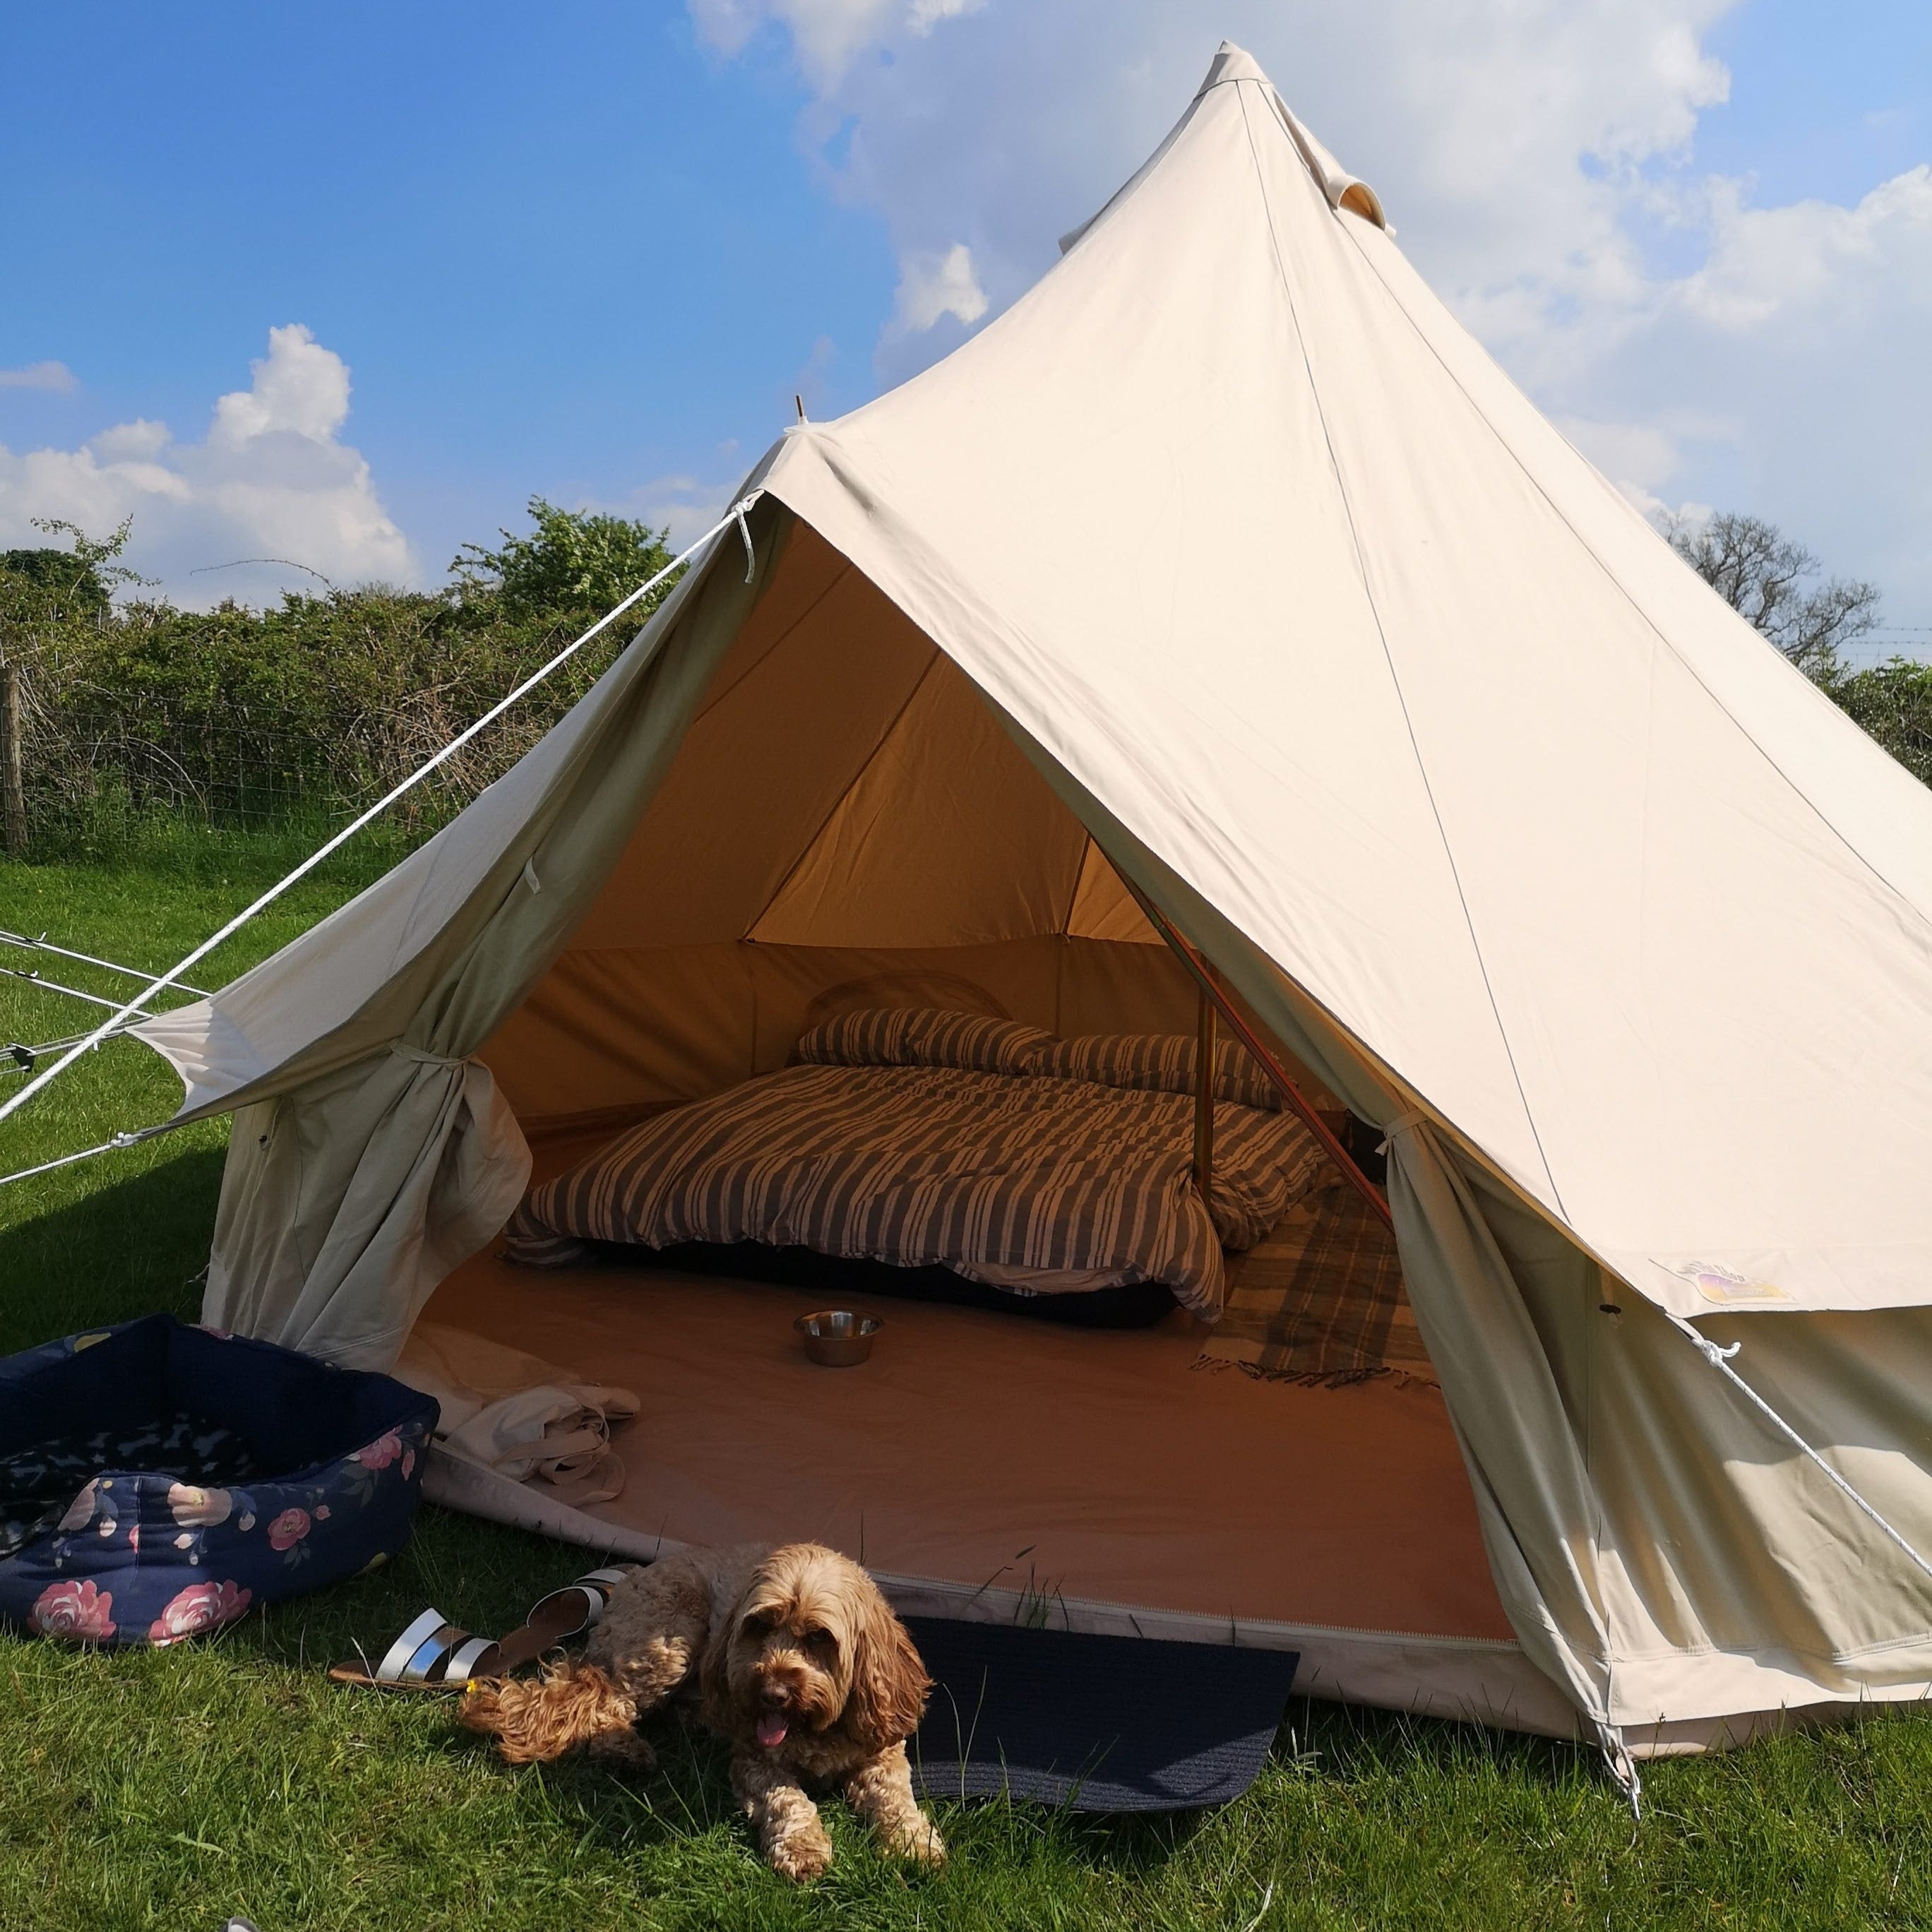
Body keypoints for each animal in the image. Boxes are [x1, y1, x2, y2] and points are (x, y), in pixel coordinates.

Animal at [467, 1545, 950, 1878]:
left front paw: (915, 1843)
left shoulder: (883, 1754)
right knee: (608, 1703)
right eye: (761, 1626)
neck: (812, 1728)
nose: (771, 1692)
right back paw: (625, 1750)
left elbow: (897, 1800)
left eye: (818, 1637)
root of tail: (631, 1580)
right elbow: (790, 1800)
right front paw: (804, 1848)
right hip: (670, 1641)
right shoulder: (754, 1761)